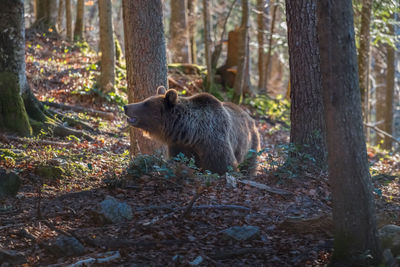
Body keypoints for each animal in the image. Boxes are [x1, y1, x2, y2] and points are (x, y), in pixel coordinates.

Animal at [125, 87, 262, 176]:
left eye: (146, 103)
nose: (126, 106)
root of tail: (251, 118)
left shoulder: (215, 142)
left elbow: (224, 166)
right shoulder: (179, 146)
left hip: (250, 146)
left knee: (249, 165)